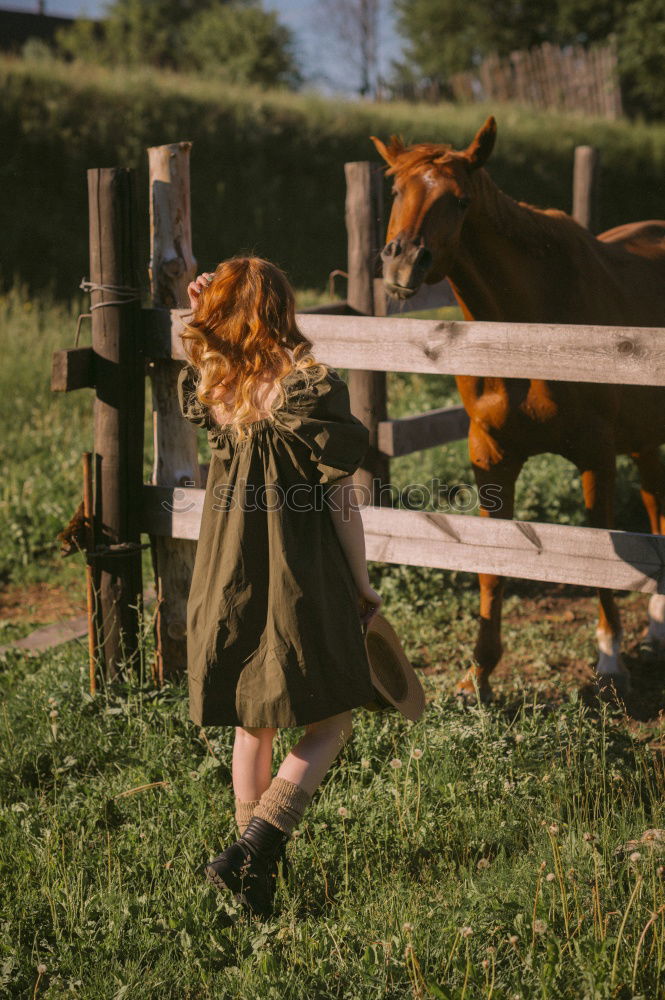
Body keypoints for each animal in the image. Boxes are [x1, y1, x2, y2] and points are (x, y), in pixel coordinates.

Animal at [370, 117, 664, 704]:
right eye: (395, 190)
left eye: (460, 201)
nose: (403, 261)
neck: (530, 332)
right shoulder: (491, 455)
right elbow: (491, 564)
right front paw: (477, 674)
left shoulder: (595, 457)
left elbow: (600, 553)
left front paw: (609, 660)